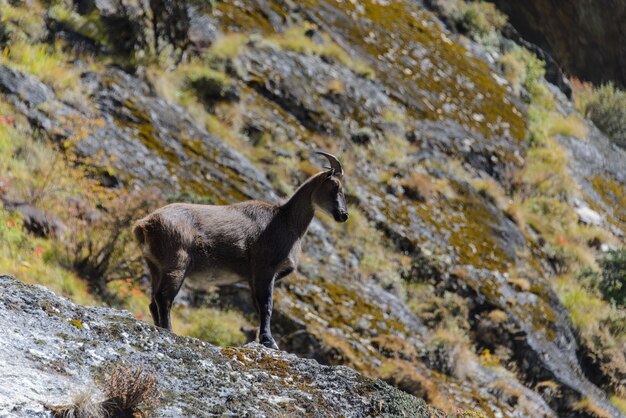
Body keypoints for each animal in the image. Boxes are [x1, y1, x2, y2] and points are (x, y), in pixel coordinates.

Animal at [133, 152, 346, 348]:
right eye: (335, 186)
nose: (343, 215)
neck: (285, 221)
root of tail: (145, 224)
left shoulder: (252, 278)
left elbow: (258, 308)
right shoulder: (265, 270)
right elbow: (267, 306)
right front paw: (269, 341)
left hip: (155, 266)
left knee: (153, 301)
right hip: (177, 264)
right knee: (164, 298)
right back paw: (169, 331)